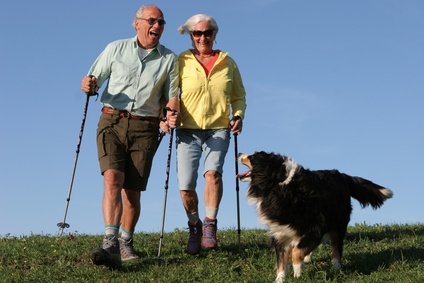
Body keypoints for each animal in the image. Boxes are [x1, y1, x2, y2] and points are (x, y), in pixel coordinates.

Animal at [237, 152, 392, 282]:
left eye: (252, 156)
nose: (238, 153)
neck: (279, 184)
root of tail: (342, 175)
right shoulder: (279, 232)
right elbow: (281, 260)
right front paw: (280, 279)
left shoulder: (316, 227)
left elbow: (296, 252)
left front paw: (297, 272)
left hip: (338, 224)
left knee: (336, 247)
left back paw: (335, 267)